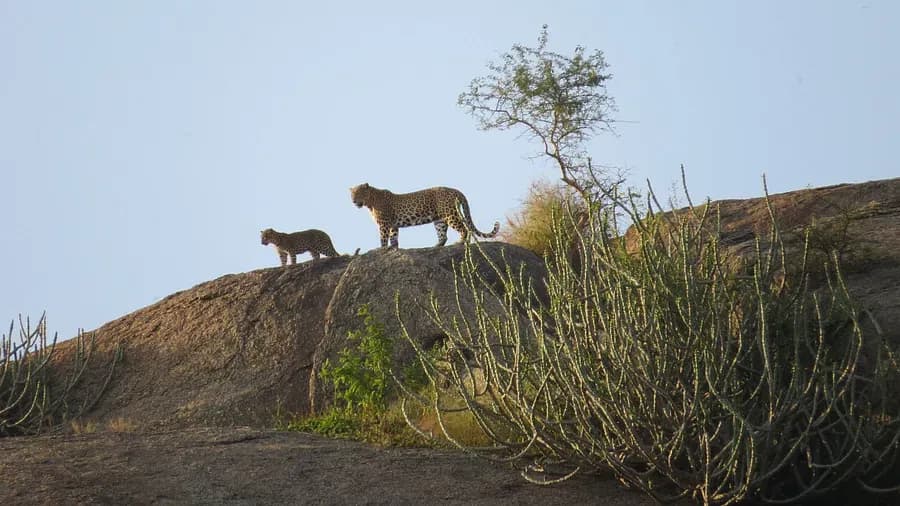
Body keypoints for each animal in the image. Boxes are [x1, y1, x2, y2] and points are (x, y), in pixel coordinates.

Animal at [349, 183, 500, 248]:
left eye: (359, 193)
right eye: (352, 194)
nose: (354, 201)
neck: (370, 202)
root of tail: (455, 190)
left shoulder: (384, 224)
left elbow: (383, 238)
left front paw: (382, 249)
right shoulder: (393, 225)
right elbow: (394, 237)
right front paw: (394, 248)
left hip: (450, 214)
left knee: (464, 228)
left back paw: (461, 242)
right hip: (439, 220)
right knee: (443, 235)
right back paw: (437, 246)